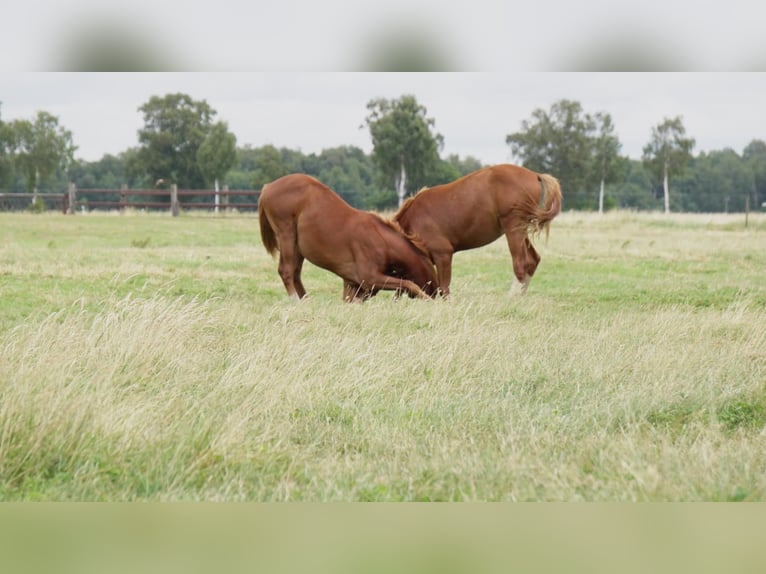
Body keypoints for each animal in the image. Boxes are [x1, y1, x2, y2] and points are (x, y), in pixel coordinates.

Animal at [258, 174, 438, 302]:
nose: (436, 294)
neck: (382, 240)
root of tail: (267, 187)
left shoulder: (353, 283)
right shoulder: (370, 278)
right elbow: (409, 284)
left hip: (297, 247)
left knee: (295, 273)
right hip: (287, 236)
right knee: (287, 270)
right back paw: (297, 301)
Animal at [393, 164, 562, 297]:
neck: (413, 222)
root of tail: (536, 175)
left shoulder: (443, 255)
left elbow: (444, 288)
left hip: (513, 228)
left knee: (522, 264)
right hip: (520, 230)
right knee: (533, 260)